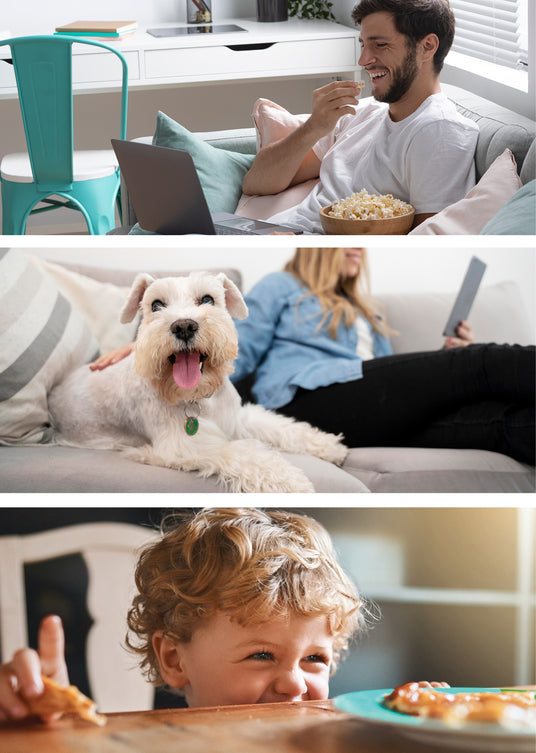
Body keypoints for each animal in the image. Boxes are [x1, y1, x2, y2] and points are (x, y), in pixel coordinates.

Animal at [47, 270, 348, 494]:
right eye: (156, 305)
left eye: (207, 299)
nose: (184, 326)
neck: (199, 398)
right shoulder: (185, 445)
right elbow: (245, 453)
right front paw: (290, 482)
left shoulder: (238, 419)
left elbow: (281, 427)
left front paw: (328, 445)